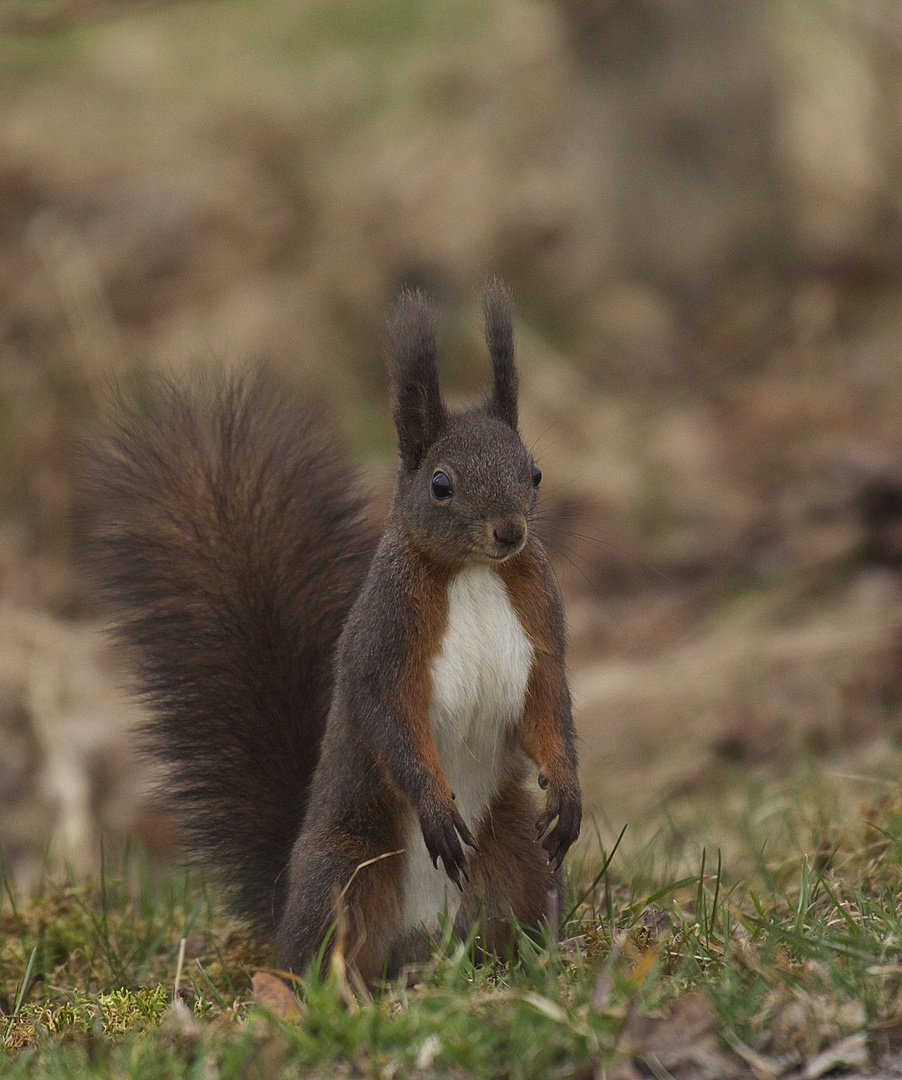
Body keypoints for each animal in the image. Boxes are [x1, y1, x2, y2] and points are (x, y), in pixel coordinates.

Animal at [82, 282, 579, 984]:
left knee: (510, 911)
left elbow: (547, 708)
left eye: (534, 473)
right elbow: (388, 716)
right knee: (327, 947)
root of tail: (421, 935)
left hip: (513, 855)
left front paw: (567, 794)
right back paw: (335, 989)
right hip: (343, 871)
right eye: (441, 484)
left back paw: (526, 967)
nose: (510, 533)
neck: (476, 572)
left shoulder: (540, 627)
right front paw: (436, 809)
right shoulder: (384, 639)